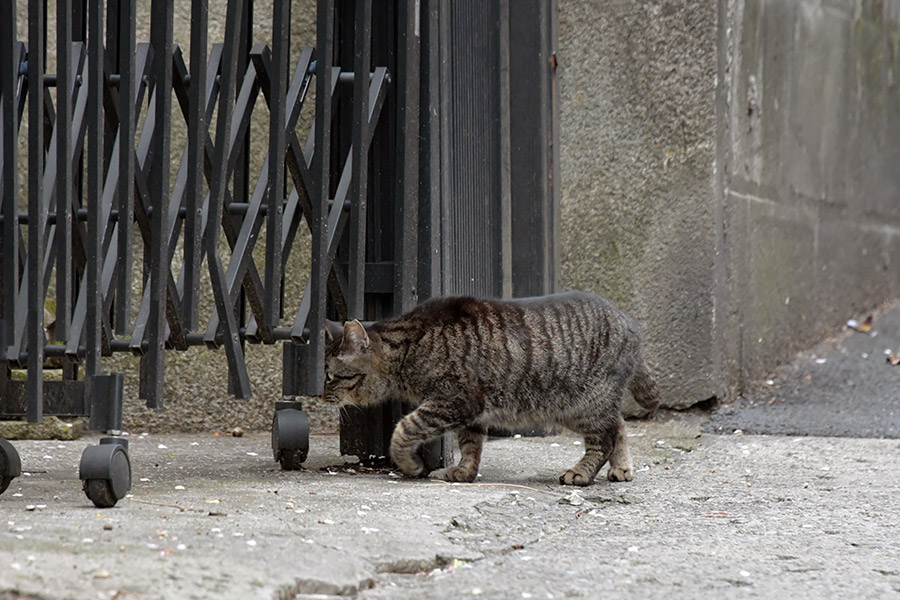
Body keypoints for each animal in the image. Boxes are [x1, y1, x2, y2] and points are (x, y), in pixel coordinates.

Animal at [320, 292, 656, 488]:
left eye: (330, 376)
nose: (320, 395)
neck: (409, 346)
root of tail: (632, 325)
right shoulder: (471, 413)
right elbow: (470, 445)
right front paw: (463, 473)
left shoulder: (455, 400)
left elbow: (405, 427)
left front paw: (409, 463)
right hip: (577, 407)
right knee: (619, 424)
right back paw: (622, 467)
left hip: (585, 403)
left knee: (604, 439)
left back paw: (582, 473)